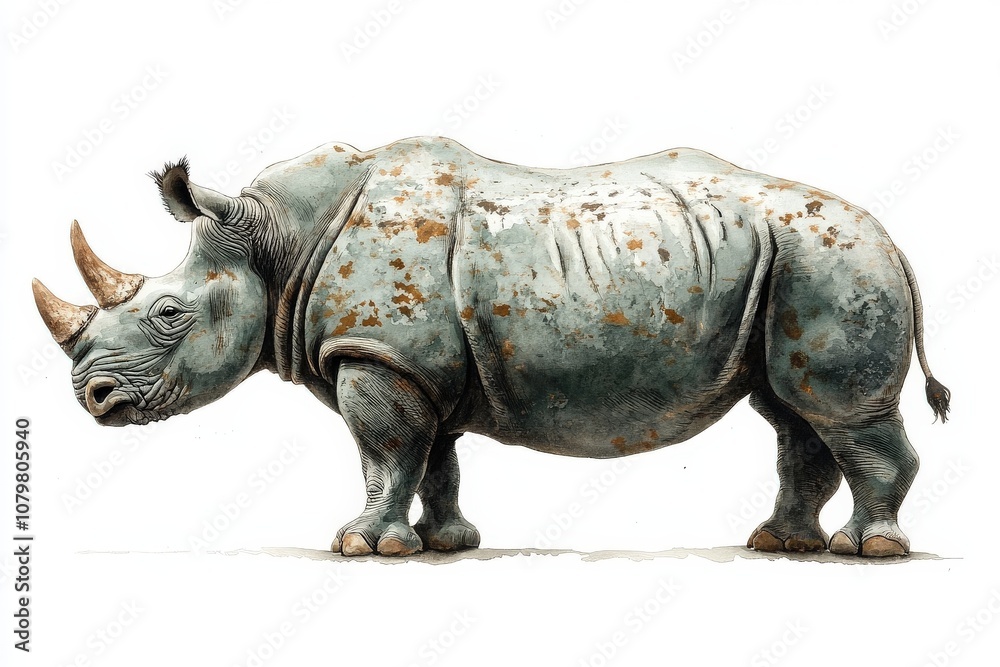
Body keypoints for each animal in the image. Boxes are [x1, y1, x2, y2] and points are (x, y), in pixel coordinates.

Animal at [33, 137, 950, 558]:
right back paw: (777, 543)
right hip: (793, 261)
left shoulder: (377, 353)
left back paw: (867, 551)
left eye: (167, 314)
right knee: (793, 412)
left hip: (830, 259)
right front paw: (445, 543)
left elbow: (383, 453)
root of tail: (894, 237)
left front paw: (359, 545)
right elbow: (431, 456)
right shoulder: (410, 361)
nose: (93, 399)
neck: (276, 244)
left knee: (835, 410)